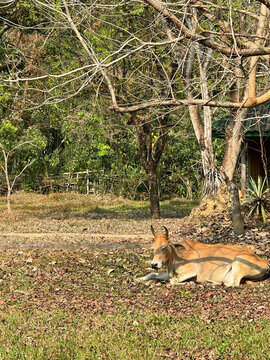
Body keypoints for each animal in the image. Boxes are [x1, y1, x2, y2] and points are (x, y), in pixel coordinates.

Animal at [138, 225, 268, 286]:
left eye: (164, 247)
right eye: (153, 247)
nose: (154, 264)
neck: (177, 256)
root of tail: (265, 263)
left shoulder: (191, 271)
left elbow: (173, 281)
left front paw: (190, 282)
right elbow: (153, 274)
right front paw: (138, 279)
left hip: (238, 261)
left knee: (232, 284)